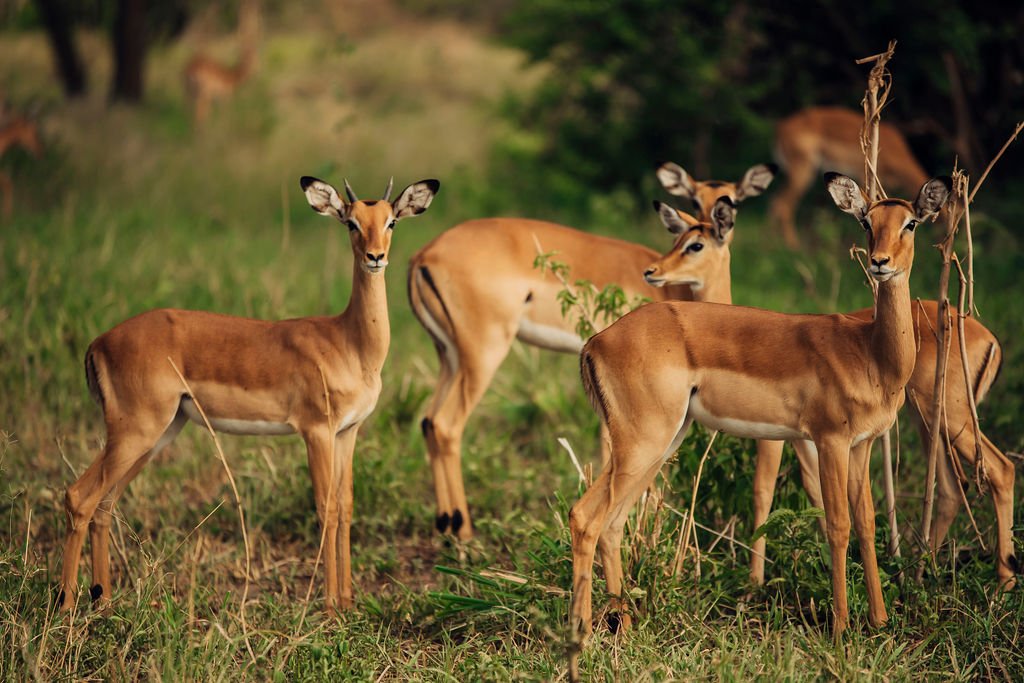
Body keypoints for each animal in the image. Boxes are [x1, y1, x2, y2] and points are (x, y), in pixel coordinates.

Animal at [57, 175, 439, 614]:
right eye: (351, 222)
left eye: (392, 221)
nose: (375, 257)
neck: (350, 344)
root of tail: (98, 343)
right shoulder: (316, 431)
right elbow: (325, 508)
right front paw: (329, 605)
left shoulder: (347, 432)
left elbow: (345, 507)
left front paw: (347, 601)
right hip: (135, 432)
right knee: (78, 496)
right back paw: (66, 606)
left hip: (157, 435)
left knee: (104, 505)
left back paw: (103, 599)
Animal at [408, 164, 775, 540]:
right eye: (694, 199)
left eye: (735, 198)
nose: (714, 226)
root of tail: (425, 255)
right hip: (483, 354)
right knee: (446, 425)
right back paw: (464, 530)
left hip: (449, 357)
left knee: (427, 421)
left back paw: (446, 522)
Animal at [568, 174, 953, 679]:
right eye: (867, 222)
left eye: (910, 222)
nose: (880, 262)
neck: (870, 353)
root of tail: (596, 342)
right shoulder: (829, 440)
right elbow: (838, 525)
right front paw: (841, 631)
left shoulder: (862, 445)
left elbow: (868, 524)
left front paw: (881, 621)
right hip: (643, 443)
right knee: (585, 517)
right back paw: (582, 639)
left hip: (660, 443)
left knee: (612, 523)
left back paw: (625, 630)